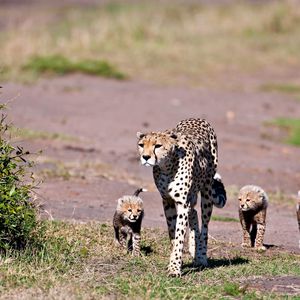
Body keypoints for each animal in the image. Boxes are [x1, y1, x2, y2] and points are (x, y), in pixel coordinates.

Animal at [137, 118, 226, 276]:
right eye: (141, 145)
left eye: (157, 145)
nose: (145, 157)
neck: (167, 167)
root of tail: (197, 118)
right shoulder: (167, 201)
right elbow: (173, 232)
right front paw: (176, 260)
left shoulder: (182, 203)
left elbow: (179, 235)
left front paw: (174, 268)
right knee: (194, 212)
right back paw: (194, 249)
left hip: (207, 192)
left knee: (205, 226)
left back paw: (201, 256)